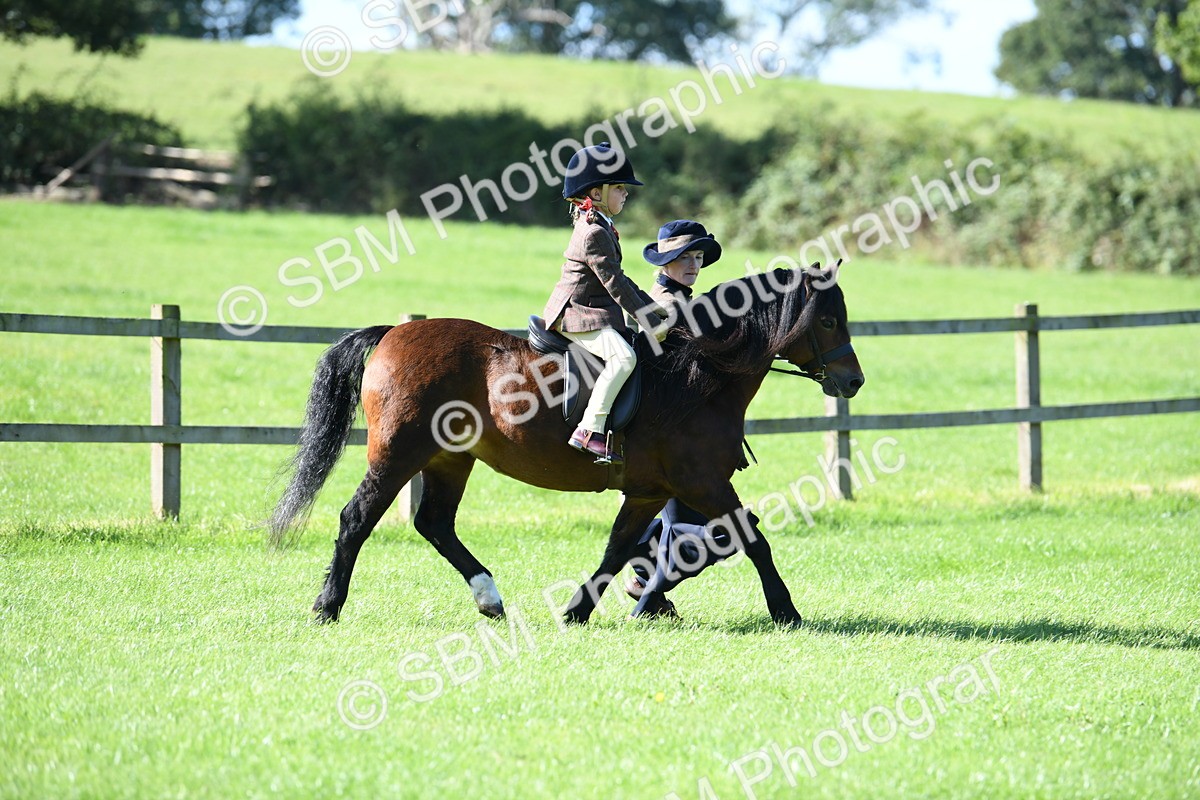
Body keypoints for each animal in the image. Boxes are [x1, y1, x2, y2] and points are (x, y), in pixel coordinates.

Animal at [269, 265, 864, 626]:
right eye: (827, 319)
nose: (854, 381)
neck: (701, 373)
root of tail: (394, 333)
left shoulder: (649, 491)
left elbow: (618, 550)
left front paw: (578, 610)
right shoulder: (702, 482)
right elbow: (752, 539)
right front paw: (786, 611)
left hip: (448, 459)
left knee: (434, 524)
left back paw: (490, 598)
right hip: (398, 455)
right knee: (357, 519)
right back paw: (327, 606)